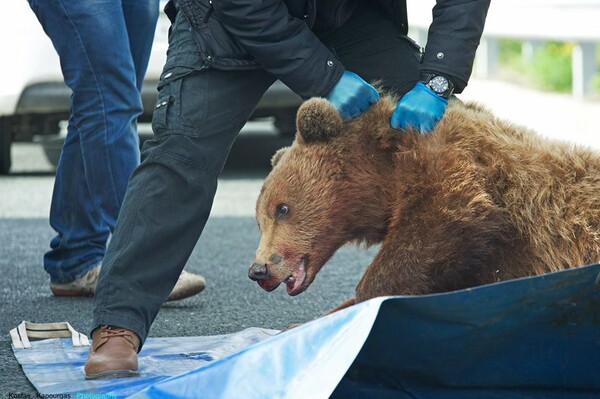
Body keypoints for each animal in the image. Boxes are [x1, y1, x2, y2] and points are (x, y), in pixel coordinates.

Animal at [246, 92, 600, 310]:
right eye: (259, 221)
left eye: (283, 208)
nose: (259, 269)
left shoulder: (453, 175)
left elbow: (431, 231)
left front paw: (365, 296)